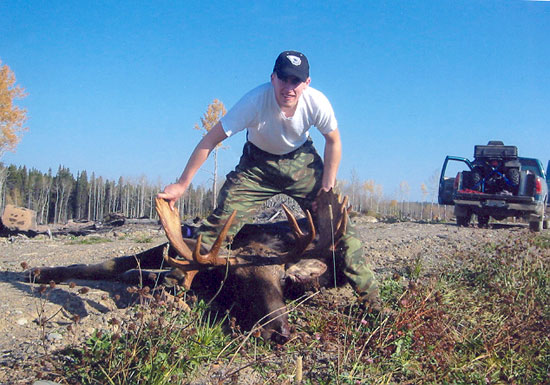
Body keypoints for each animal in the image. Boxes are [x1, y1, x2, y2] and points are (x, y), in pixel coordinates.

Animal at [29, 189, 350, 342]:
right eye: (236, 280)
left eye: (283, 280)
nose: (278, 332)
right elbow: (110, 263)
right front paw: (39, 271)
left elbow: (135, 271)